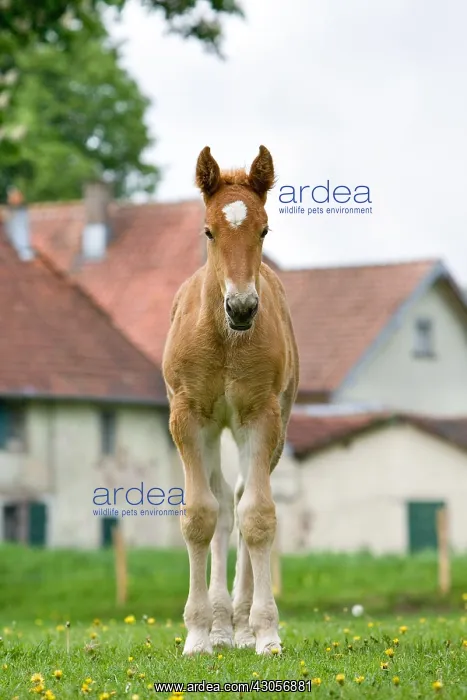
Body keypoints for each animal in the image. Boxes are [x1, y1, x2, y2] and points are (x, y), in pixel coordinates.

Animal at [162, 145, 299, 655]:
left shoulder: (261, 415)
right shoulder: (186, 416)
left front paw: (266, 633)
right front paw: (198, 634)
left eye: (264, 230)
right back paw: (221, 627)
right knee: (222, 502)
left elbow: (257, 515)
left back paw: (239, 626)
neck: (225, 339)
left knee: (239, 502)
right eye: (208, 230)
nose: (241, 308)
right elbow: (200, 514)